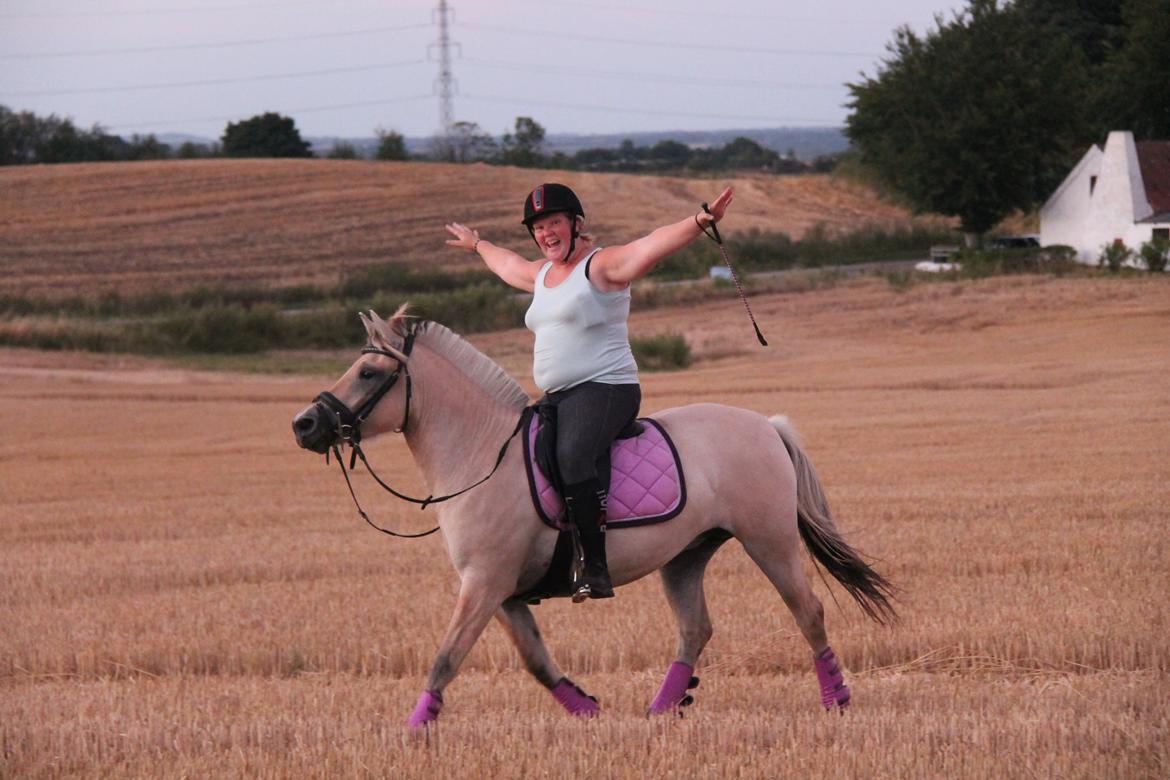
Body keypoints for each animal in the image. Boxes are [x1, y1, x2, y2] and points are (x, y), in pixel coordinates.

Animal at [292, 304, 893, 725]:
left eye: (369, 373)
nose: (305, 425)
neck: (482, 453)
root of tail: (766, 425)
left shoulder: (484, 583)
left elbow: (446, 657)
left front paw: (414, 729)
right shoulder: (502, 591)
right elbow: (534, 660)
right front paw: (587, 708)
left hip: (768, 540)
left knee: (808, 611)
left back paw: (836, 697)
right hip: (685, 556)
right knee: (695, 629)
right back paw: (662, 707)